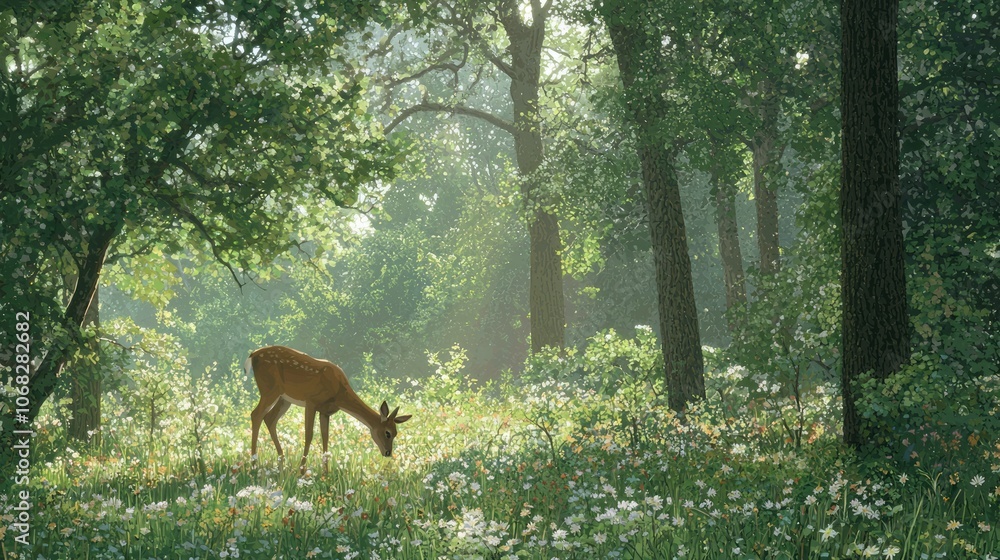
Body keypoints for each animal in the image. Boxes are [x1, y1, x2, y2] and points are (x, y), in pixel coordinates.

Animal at [244, 346, 411, 474]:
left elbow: (325, 437)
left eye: (396, 432)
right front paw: (302, 470)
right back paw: (254, 465)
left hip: (284, 399)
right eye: (387, 433)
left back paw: (281, 461)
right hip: (269, 388)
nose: (388, 453)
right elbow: (309, 435)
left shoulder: (325, 412)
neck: (339, 394)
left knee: (269, 418)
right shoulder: (311, 402)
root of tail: (252, 355)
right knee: (256, 414)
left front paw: (326, 472)